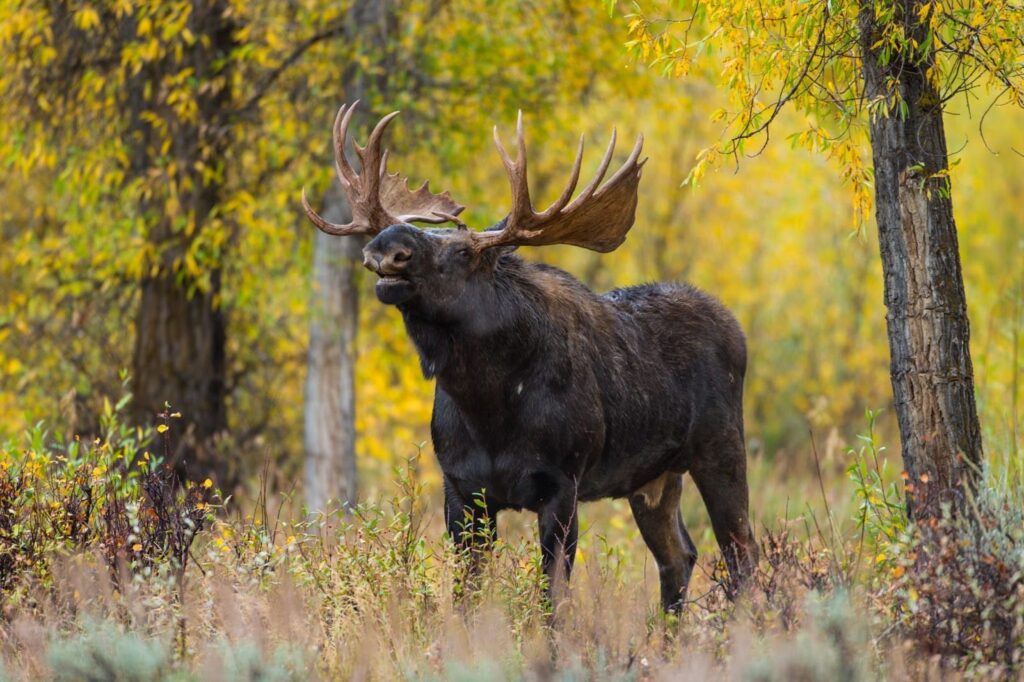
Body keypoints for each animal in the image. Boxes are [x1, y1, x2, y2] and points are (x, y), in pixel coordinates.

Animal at [303, 102, 758, 613]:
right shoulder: (461, 490)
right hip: (654, 479)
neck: (489, 411)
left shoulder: (562, 485)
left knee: (742, 553)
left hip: (722, 447)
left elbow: (551, 599)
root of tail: (736, 329)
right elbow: (465, 597)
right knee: (679, 556)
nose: (387, 245)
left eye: (463, 251)